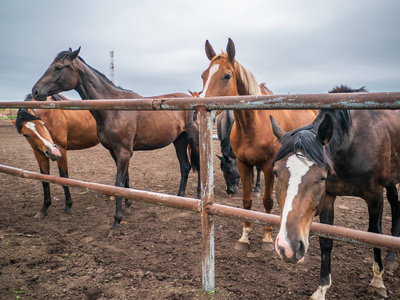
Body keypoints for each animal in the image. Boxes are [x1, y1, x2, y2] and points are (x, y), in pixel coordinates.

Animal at [31, 47, 200, 236]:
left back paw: (199, 197)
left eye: (58, 67)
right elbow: (125, 178)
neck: (114, 109)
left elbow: (118, 182)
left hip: (193, 140)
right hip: (179, 141)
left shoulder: (124, 151)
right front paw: (127, 205)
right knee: (185, 166)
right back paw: (180, 198)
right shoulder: (114, 151)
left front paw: (116, 222)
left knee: (200, 166)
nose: (35, 91)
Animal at [202, 38, 318, 251]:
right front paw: (245, 235)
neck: (253, 123)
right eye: (203, 75)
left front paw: (267, 237)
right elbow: (246, 202)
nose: (204, 106)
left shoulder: (268, 166)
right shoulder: (243, 164)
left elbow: (267, 201)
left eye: (227, 75)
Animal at [270, 107, 400, 298]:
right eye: (276, 172)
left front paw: (377, 281)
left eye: (321, 177)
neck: (351, 143)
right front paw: (321, 288)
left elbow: (375, 234)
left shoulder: (375, 196)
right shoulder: (328, 197)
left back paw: (390, 257)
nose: (288, 247)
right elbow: (326, 239)